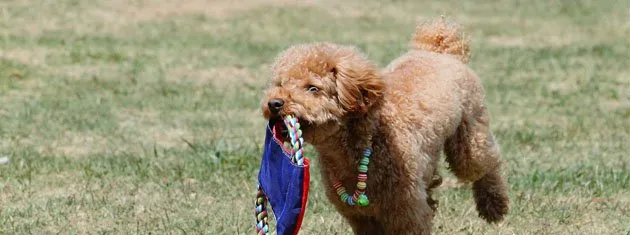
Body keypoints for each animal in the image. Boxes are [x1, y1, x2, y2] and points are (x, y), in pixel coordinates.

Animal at [260, 18, 508, 235]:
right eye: (280, 84)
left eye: (313, 88)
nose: (274, 103)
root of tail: (437, 50)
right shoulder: (361, 217)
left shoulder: (406, 211)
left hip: (470, 134)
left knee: (486, 163)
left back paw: (494, 206)